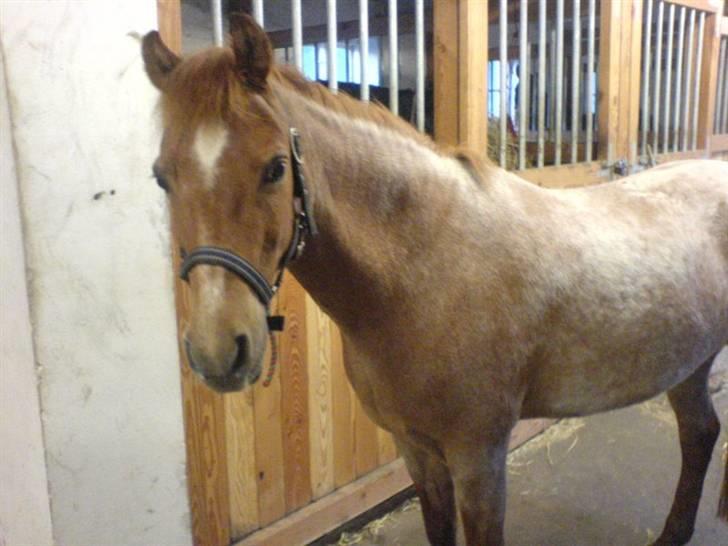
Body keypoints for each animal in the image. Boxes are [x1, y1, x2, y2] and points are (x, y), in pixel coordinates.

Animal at [142, 13, 728, 544]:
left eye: (275, 168)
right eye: (162, 176)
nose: (219, 350)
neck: (423, 271)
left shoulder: (479, 458)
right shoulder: (417, 450)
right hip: (688, 364)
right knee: (701, 435)